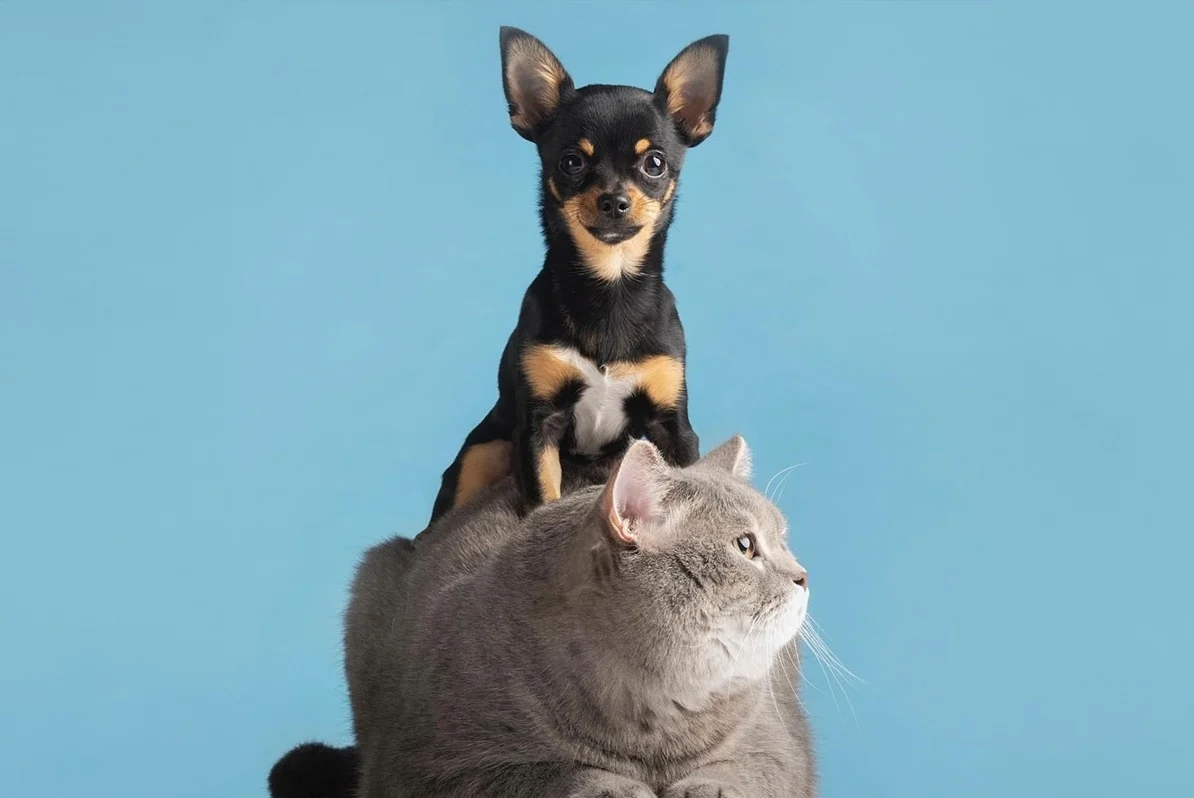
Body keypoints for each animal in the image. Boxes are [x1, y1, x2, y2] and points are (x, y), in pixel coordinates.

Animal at [341, 437, 816, 798]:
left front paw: (708, 788)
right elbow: (551, 772)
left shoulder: (779, 744)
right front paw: (615, 787)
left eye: (783, 540)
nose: (803, 576)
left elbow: (749, 770)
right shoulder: (434, 767)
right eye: (744, 545)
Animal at [429, 26, 725, 523]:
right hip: (483, 453)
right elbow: (542, 501)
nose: (614, 200)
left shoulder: (674, 427)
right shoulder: (538, 429)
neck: (609, 285)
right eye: (572, 162)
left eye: (655, 163)